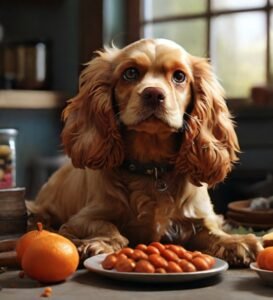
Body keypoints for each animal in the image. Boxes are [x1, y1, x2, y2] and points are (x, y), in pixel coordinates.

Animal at [28, 38, 262, 266]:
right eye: (130, 73)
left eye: (179, 76)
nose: (153, 94)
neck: (152, 168)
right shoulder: (82, 218)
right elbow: (106, 226)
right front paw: (99, 244)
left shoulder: (201, 218)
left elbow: (213, 232)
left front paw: (237, 242)